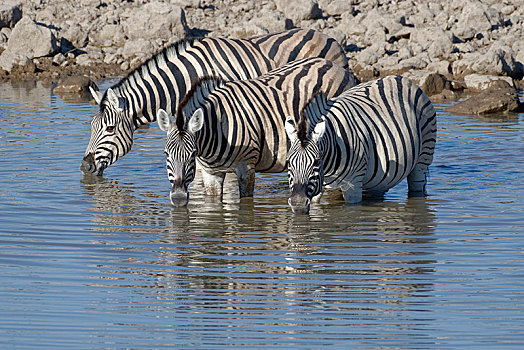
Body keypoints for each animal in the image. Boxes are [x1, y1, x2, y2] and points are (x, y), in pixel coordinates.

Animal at [155, 56, 352, 205]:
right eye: (165, 154)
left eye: (193, 153)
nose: (178, 198)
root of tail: (335, 66)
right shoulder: (210, 173)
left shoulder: (247, 167)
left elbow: (246, 203)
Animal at [284, 74, 436, 213]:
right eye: (289, 162)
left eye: (316, 162)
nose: (298, 204)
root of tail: (401, 78)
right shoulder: (317, 187)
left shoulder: (353, 184)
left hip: (423, 158)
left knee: (417, 187)